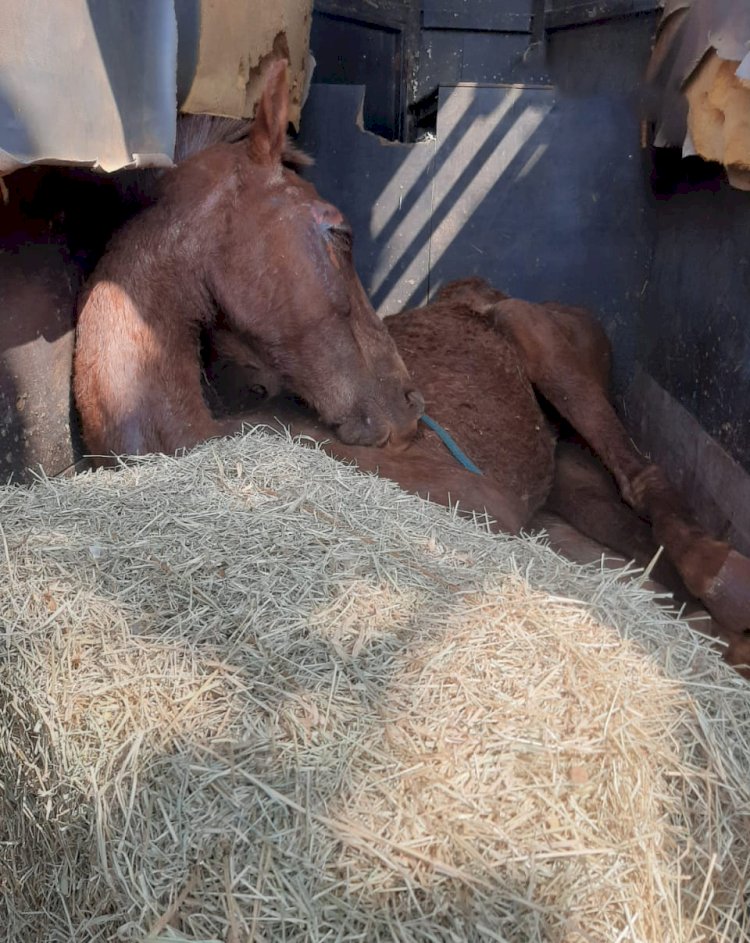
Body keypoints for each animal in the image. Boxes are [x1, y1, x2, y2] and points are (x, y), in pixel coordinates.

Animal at [206, 280, 750, 680]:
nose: (247, 387)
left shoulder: (477, 496)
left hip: (531, 332)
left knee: (640, 477)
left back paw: (727, 584)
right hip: (561, 478)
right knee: (629, 535)